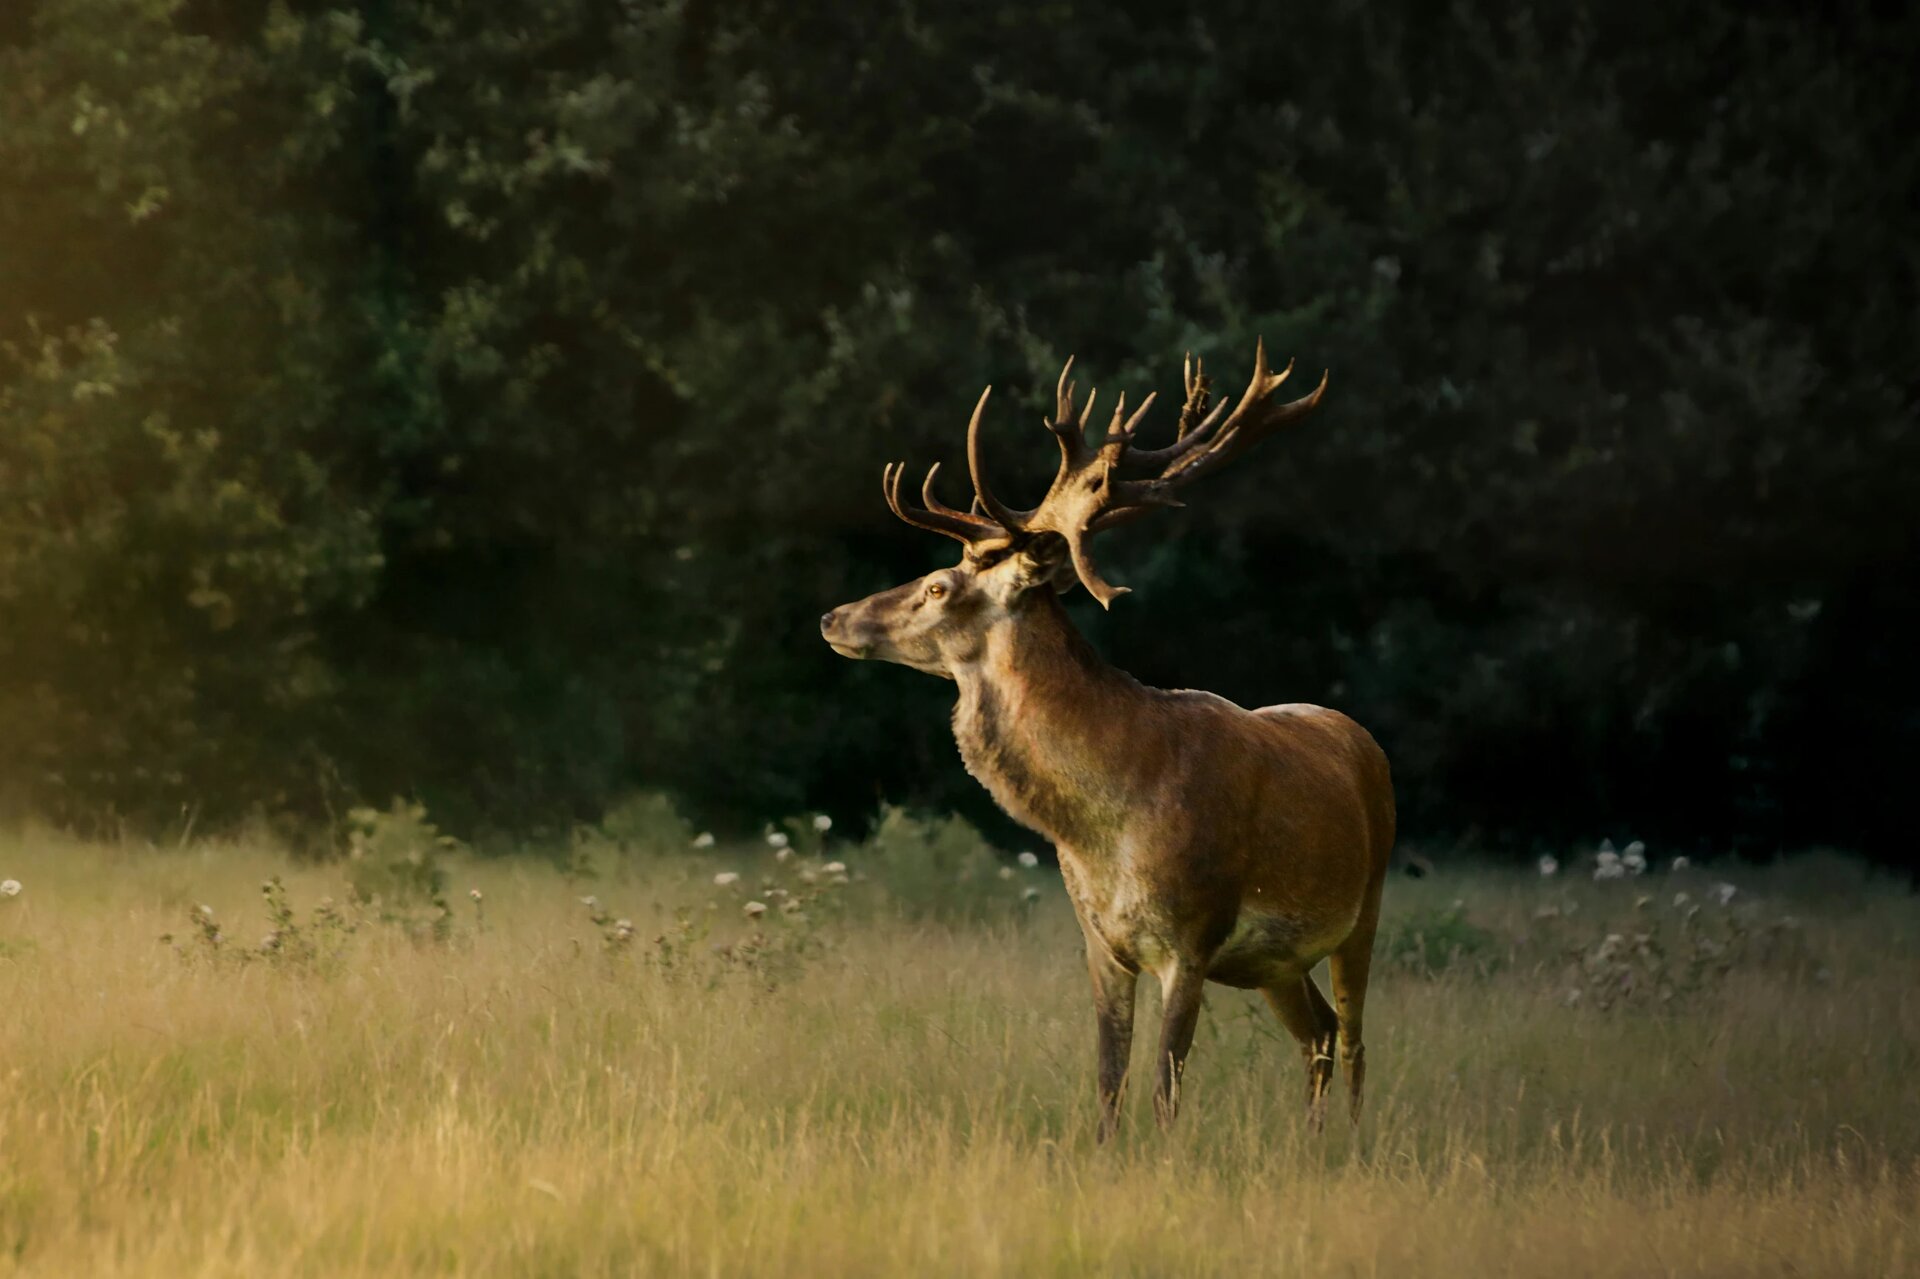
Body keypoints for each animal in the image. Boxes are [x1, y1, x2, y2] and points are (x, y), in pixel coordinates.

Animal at [819, 343, 1394, 1141]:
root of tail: (1360, 735)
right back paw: (1309, 1145)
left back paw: (1352, 1143)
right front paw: (1104, 1153)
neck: (1105, 825)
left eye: (938, 586)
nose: (833, 617)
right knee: (1319, 1033)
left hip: (1365, 905)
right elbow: (1108, 1078)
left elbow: (1163, 1086)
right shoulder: (1100, 942)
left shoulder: (1193, 936)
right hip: (1275, 961)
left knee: (1358, 1037)